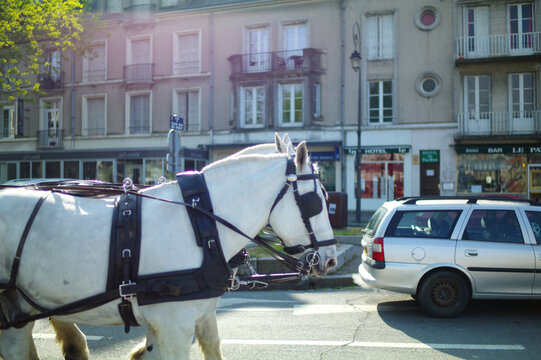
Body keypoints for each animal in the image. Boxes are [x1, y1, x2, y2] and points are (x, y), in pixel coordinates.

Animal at [0, 139, 336, 360]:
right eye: (316, 200)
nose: (331, 260)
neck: (201, 224)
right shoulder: (173, 328)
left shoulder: (198, 319)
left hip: (19, 312)